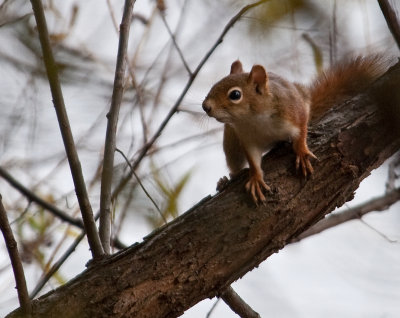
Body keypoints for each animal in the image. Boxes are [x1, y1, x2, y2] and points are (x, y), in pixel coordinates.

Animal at [203, 55, 388, 204]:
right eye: (214, 85)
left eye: (235, 95)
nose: (206, 107)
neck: (254, 119)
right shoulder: (247, 139)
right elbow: (253, 161)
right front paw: (255, 178)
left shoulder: (294, 111)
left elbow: (301, 130)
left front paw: (301, 152)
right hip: (231, 142)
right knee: (234, 163)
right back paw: (226, 180)